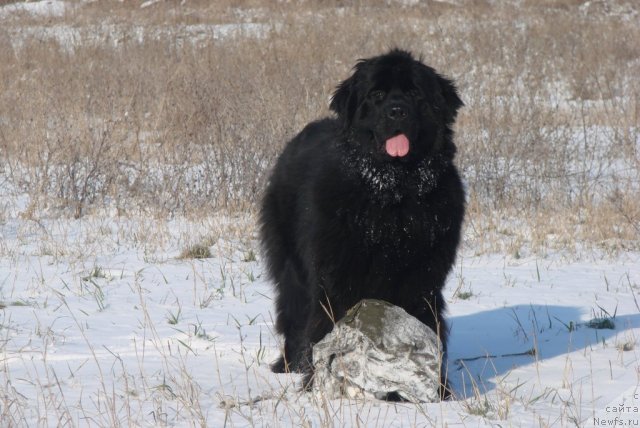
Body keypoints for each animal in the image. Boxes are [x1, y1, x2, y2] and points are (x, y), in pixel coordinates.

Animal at [260, 48, 464, 392]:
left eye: (415, 94)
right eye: (377, 95)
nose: (397, 111)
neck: (393, 194)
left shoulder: (423, 278)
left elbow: (424, 323)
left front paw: (438, 388)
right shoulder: (336, 274)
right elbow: (327, 324)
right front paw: (319, 382)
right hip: (292, 269)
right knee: (293, 314)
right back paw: (288, 365)